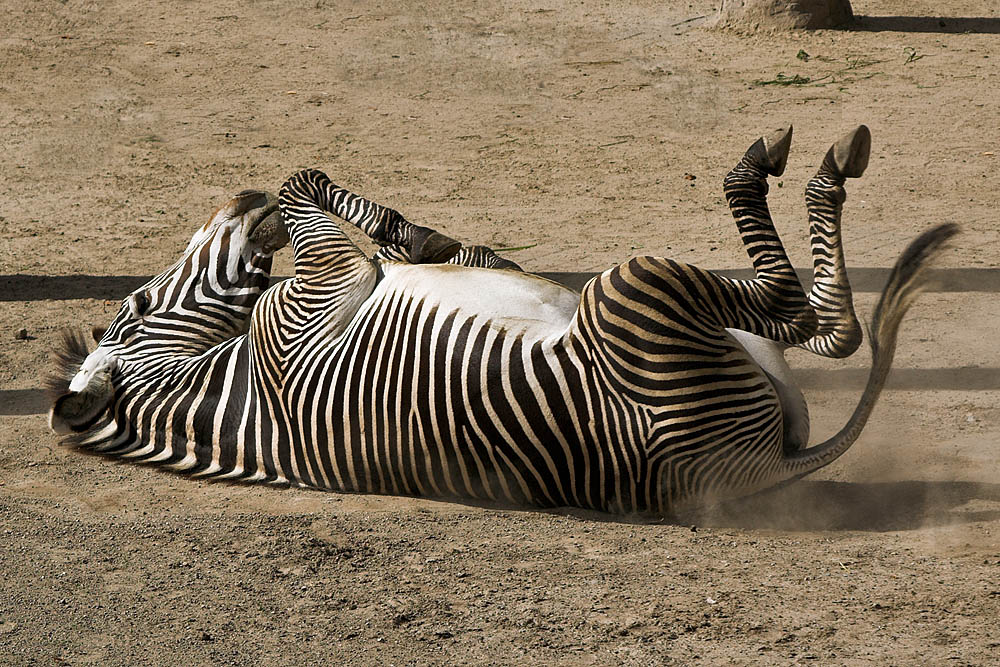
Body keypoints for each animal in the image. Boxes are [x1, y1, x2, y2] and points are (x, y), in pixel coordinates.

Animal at [48, 126, 960, 516]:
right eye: (135, 308)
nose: (239, 206)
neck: (224, 380)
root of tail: (763, 466)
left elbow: (436, 243)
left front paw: (422, 236)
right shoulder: (319, 291)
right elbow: (304, 179)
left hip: (686, 320)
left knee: (815, 322)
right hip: (632, 289)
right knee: (814, 315)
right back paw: (798, 170)